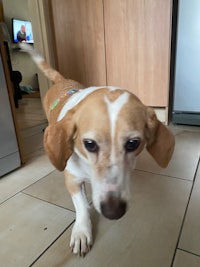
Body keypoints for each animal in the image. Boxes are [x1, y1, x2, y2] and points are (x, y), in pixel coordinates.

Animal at [19, 44, 174, 258]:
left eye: (133, 143)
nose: (113, 212)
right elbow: (82, 208)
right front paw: (82, 232)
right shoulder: (73, 180)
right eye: (90, 144)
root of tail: (62, 80)